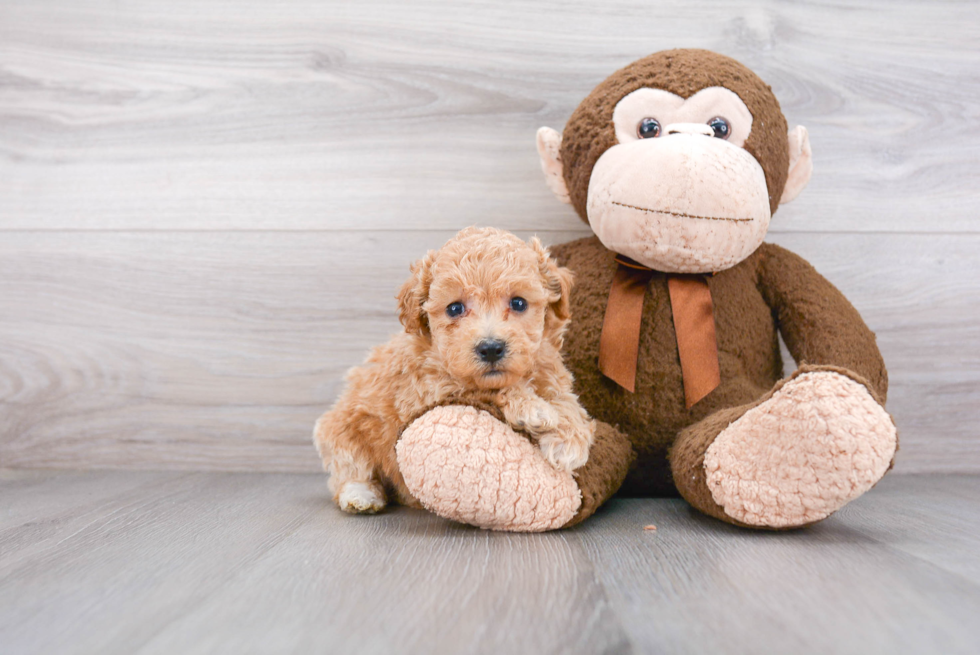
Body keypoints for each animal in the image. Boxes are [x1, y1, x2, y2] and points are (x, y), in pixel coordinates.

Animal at [314, 228, 592, 516]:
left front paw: (570, 438)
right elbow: (486, 388)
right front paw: (532, 409)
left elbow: (566, 400)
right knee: (349, 470)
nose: (490, 348)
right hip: (340, 431)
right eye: (455, 308)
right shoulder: (429, 390)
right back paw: (362, 495)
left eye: (518, 303)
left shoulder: (549, 369)